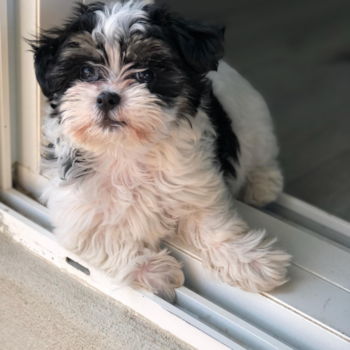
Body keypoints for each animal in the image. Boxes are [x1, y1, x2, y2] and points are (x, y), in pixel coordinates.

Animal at [29, 0, 290, 302]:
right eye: (85, 73)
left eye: (146, 74)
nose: (107, 97)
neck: (126, 150)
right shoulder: (77, 213)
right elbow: (104, 240)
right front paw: (156, 270)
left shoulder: (196, 184)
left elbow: (214, 225)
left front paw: (250, 262)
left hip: (254, 122)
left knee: (262, 155)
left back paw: (263, 185)